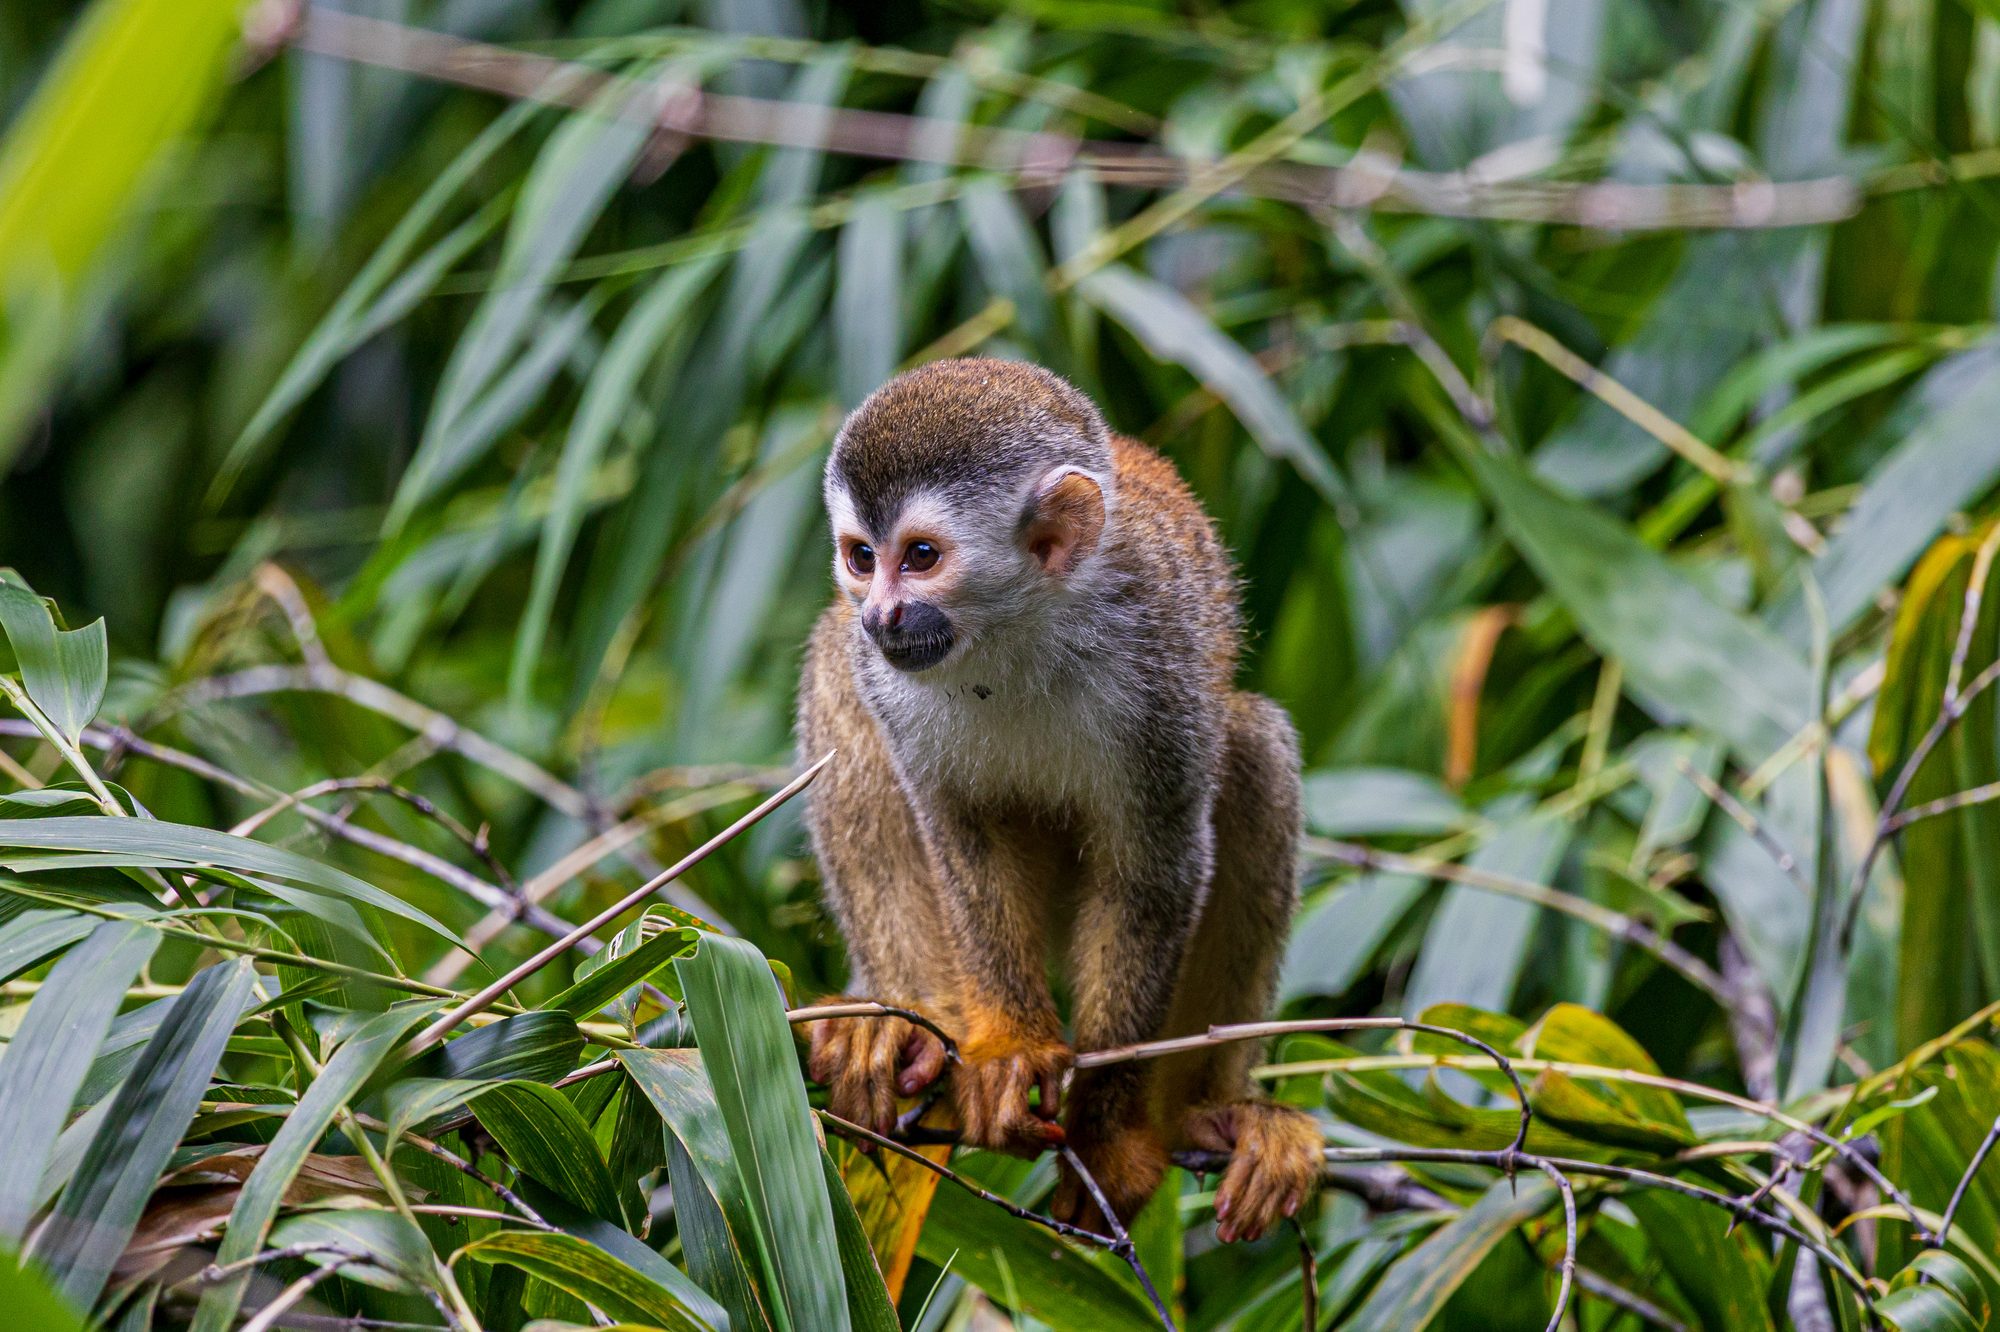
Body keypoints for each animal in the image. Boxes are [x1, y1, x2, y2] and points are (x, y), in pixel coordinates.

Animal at [797, 357, 1321, 1241]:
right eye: (862, 556)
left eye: (922, 556)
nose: (881, 612)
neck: (1011, 633)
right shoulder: (890, 681)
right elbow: (960, 836)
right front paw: (1009, 1047)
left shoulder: (1160, 666)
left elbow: (1153, 871)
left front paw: (1107, 1133)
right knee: (835, 670)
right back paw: (905, 1021)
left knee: (1253, 755)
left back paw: (1205, 1114)